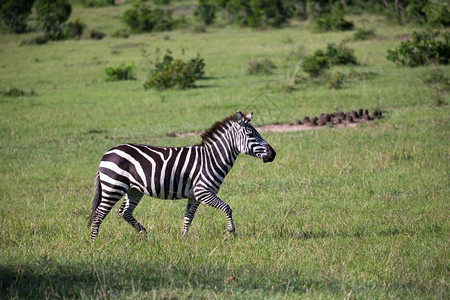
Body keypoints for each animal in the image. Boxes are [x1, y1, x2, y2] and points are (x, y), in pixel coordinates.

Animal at [87, 110, 276, 241]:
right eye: (251, 134)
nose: (273, 154)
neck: (211, 158)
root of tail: (106, 154)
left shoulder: (194, 195)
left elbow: (188, 217)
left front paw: (182, 238)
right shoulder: (203, 191)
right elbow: (227, 207)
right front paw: (231, 232)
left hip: (133, 190)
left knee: (124, 212)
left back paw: (144, 233)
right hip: (114, 186)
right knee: (99, 214)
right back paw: (93, 243)